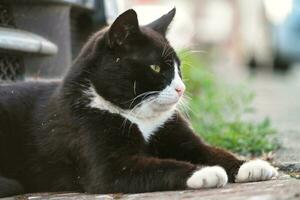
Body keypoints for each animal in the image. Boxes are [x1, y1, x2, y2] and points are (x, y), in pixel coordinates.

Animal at [0, 7, 278, 197]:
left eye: (178, 68)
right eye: (155, 67)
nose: (181, 88)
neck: (140, 118)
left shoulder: (174, 132)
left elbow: (212, 151)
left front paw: (250, 166)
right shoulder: (109, 167)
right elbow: (160, 166)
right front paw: (203, 172)